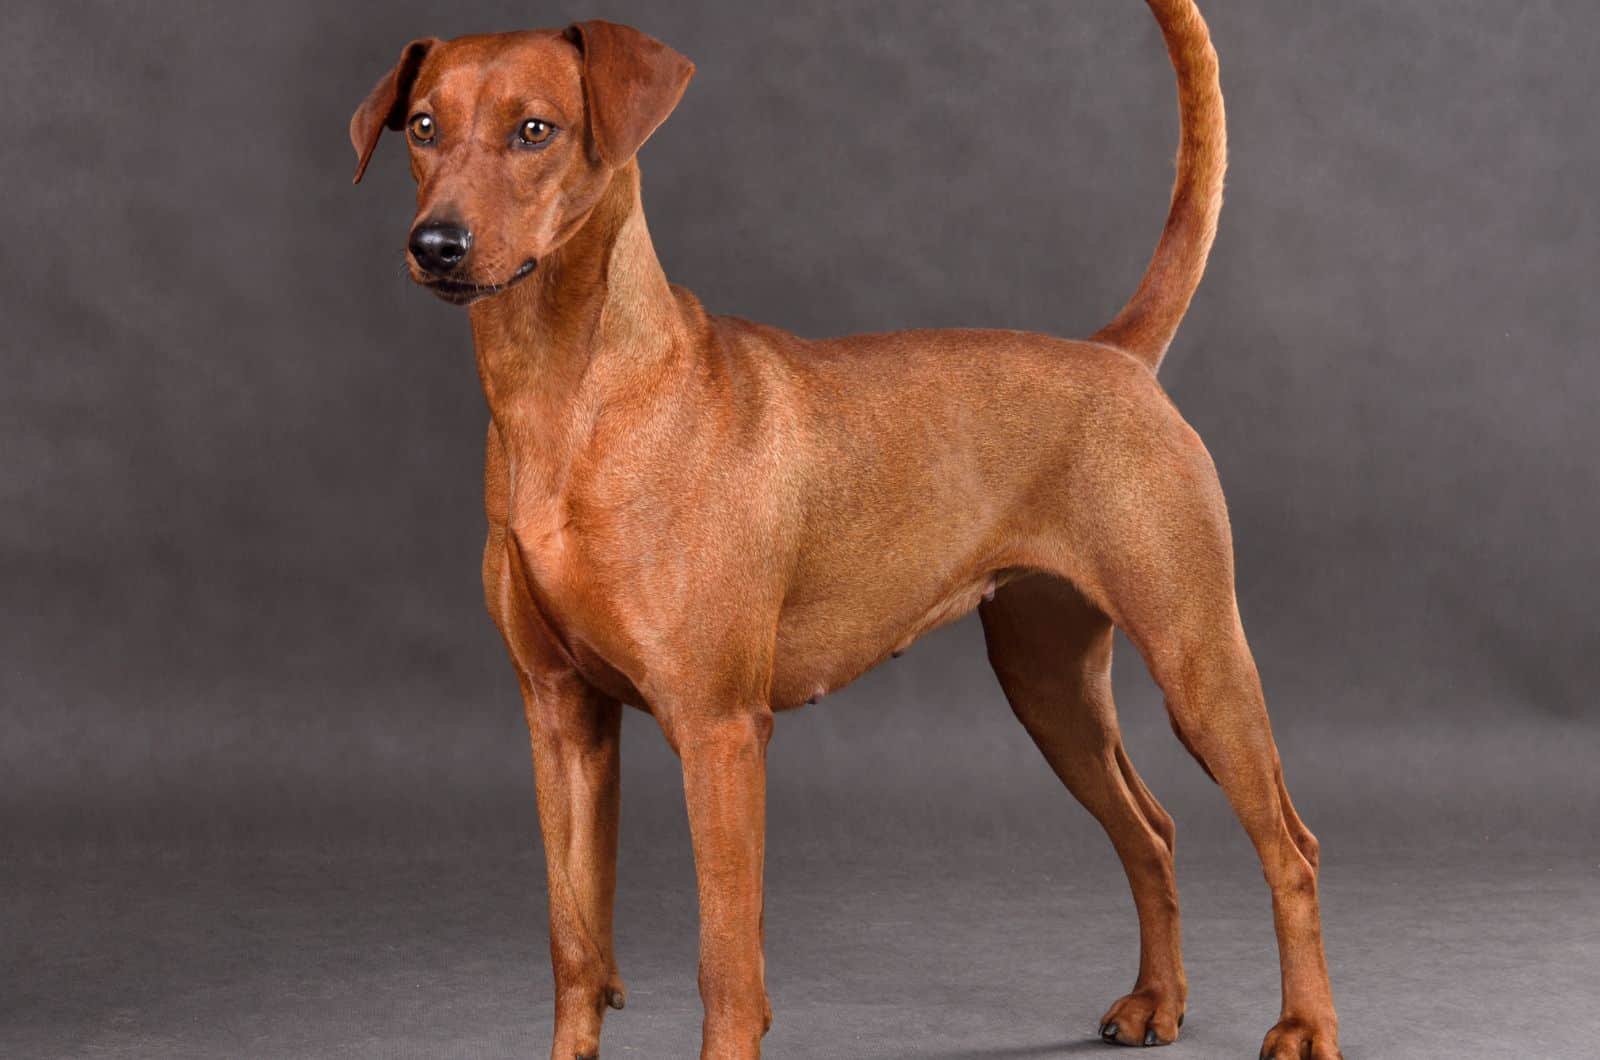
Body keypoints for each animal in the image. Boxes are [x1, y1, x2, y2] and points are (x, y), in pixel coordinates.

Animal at [350, 2, 1337, 1060]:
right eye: (422, 128)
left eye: (536, 130)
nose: (436, 244)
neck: (565, 396)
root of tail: (1116, 357)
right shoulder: (562, 717)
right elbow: (575, 945)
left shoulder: (720, 729)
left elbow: (727, 964)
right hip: (1050, 688)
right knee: (1151, 831)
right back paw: (1157, 1000)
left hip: (1199, 664)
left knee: (1291, 847)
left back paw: (1305, 1024)